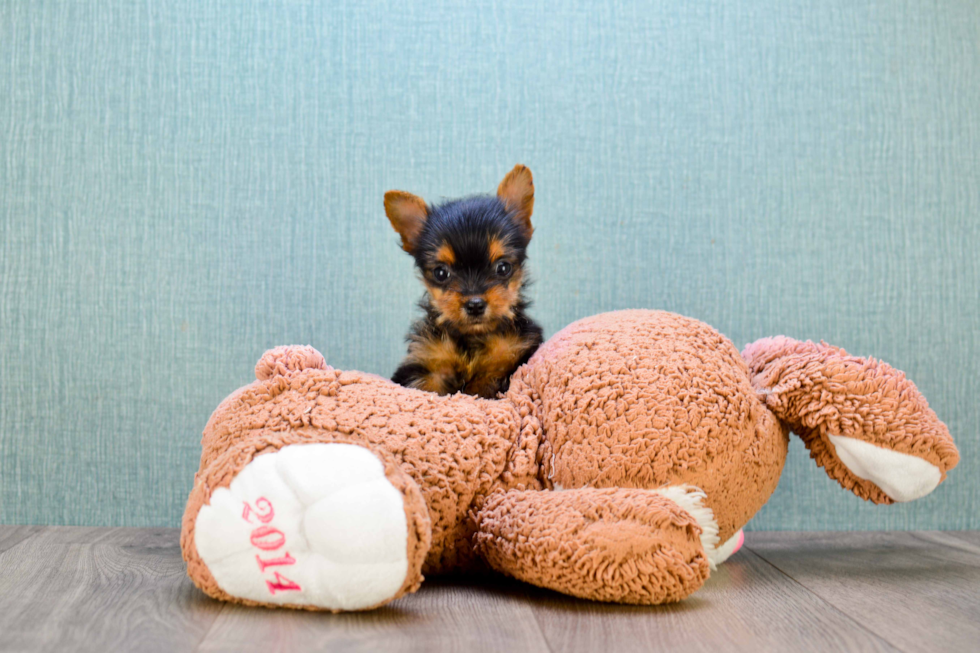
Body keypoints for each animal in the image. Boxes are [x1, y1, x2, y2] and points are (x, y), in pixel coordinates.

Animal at [386, 163, 548, 398]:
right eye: (441, 273)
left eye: (503, 267)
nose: (475, 304)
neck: (472, 338)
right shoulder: (426, 364)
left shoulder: (511, 358)